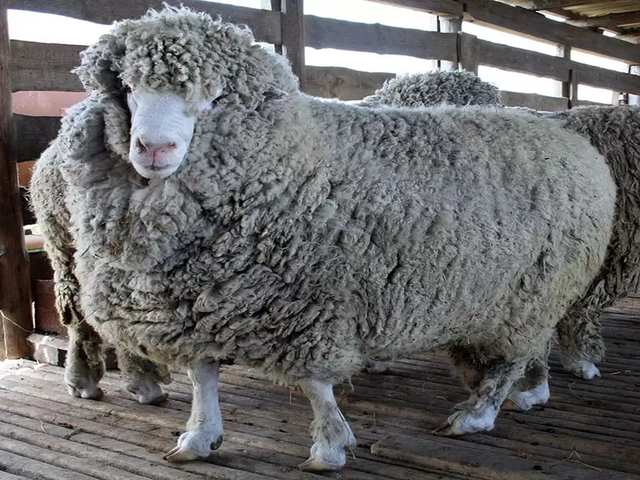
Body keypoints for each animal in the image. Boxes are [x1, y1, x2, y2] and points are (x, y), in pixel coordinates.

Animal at [30, 7, 616, 471]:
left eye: (215, 98)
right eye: (129, 90)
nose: (154, 148)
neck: (291, 161)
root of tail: (567, 136)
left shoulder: (308, 304)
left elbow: (314, 384)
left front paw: (329, 447)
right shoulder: (197, 304)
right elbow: (202, 377)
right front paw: (198, 436)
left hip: (534, 292)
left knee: (513, 357)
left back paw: (477, 414)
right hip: (512, 295)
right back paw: (521, 393)